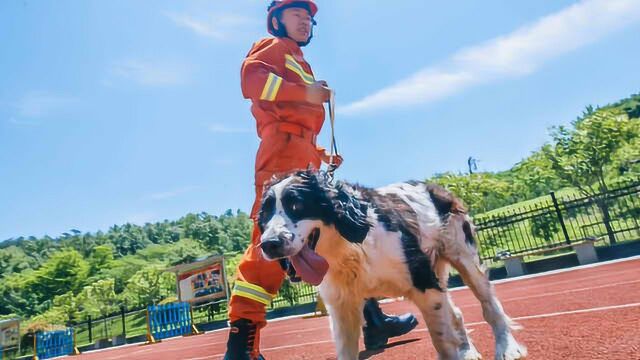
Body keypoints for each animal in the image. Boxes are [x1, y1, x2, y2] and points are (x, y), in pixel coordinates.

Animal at [258, 171, 528, 360]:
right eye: (265, 215)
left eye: (297, 205)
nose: (269, 244)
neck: (348, 246)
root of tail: (435, 187)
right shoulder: (342, 306)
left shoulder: (425, 286)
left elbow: (441, 340)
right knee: (457, 315)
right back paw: (467, 351)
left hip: (465, 260)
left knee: (489, 306)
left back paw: (507, 348)